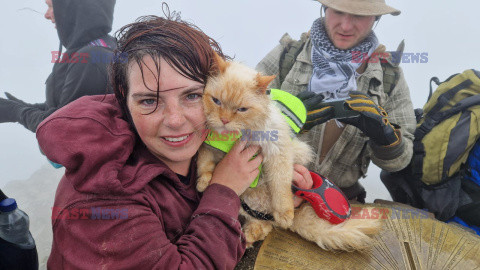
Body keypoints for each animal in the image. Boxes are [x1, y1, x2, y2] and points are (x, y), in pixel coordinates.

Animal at [197, 53, 380, 251]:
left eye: (242, 109)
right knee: (259, 223)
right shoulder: (209, 147)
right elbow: (205, 165)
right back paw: (246, 239)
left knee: (265, 223)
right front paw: (203, 184)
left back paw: (253, 235)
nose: (224, 120)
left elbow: (281, 188)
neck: (236, 137)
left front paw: (285, 215)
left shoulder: (279, 153)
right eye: (216, 101)